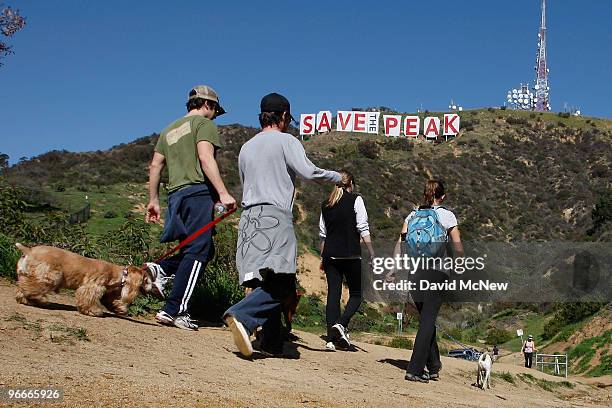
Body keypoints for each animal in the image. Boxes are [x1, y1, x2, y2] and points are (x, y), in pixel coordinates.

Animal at [15, 244, 152, 318]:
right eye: (147, 281)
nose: (152, 288)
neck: (118, 274)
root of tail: (29, 250)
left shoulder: (107, 292)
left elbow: (112, 301)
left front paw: (120, 309)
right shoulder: (93, 287)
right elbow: (88, 300)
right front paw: (94, 311)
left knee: (23, 285)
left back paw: (27, 300)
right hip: (50, 276)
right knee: (31, 287)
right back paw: (39, 299)